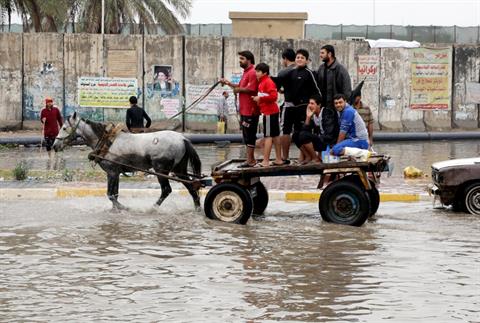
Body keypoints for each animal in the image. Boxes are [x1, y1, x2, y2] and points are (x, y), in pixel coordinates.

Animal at [51, 112, 202, 211]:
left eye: (64, 128)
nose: (54, 146)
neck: (106, 142)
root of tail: (183, 138)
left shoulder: (112, 172)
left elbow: (111, 195)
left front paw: (124, 207)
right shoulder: (115, 173)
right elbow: (115, 194)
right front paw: (115, 210)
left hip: (161, 170)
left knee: (166, 190)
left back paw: (153, 208)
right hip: (179, 170)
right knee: (191, 186)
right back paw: (198, 208)